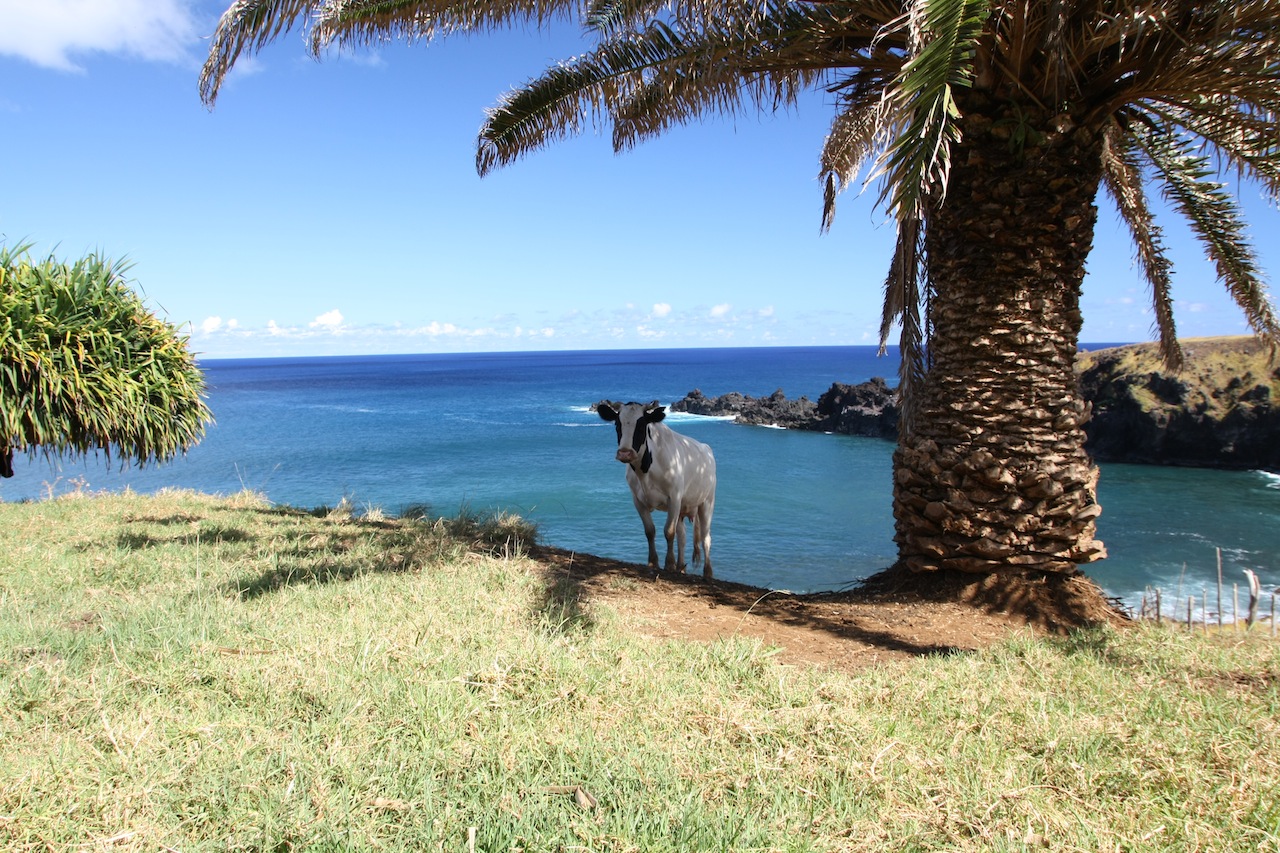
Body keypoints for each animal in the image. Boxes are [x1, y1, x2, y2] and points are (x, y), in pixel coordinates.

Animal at [593, 399, 716, 578]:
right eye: (617, 424)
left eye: (642, 425)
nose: (625, 453)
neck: (645, 471)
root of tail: (706, 448)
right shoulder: (638, 500)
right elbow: (650, 531)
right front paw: (653, 562)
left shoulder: (674, 497)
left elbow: (669, 531)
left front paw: (669, 564)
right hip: (684, 508)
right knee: (683, 535)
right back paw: (681, 567)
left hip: (707, 501)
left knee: (706, 537)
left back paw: (707, 572)